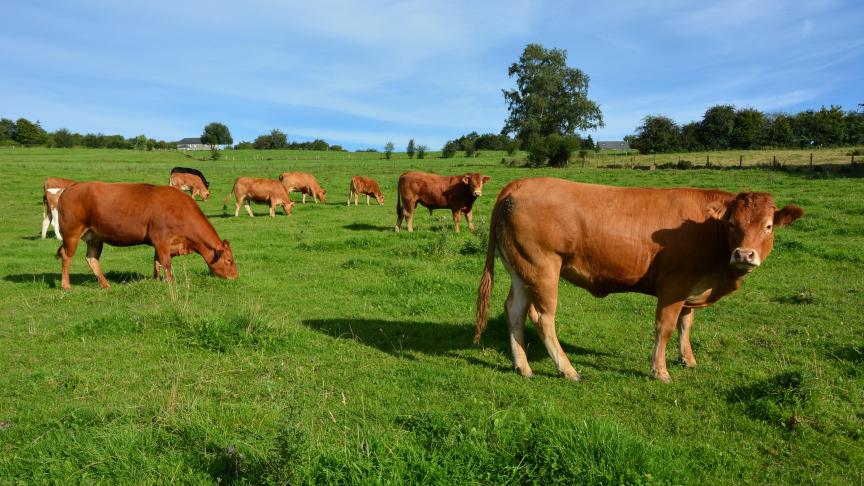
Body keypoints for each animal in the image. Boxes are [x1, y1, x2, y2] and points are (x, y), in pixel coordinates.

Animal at [56, 181, 236, 288]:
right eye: (229, 260)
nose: (235, 276)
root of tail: (71, 187)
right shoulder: (161, 240)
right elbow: (166, 263)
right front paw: (172, 284)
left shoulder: (163, 244)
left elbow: (157, 262)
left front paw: (156, 281)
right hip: (72, 233)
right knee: (66, 256)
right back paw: (66, 285)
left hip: (95, 237)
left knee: (92, 259)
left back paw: (105, 285)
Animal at [472, 178, 804, 384]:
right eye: (733, 223)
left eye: (768, 226)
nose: (744, 254)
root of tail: (522, 183)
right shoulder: (674, 284)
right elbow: (666, 326)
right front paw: (660, 371)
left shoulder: (691, 286)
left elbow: (686, 323)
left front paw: (688, 359)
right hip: (543, 268)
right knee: (543, 318)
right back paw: (568, 370)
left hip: (522, 269)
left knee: (514, 311)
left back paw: (523, 366)